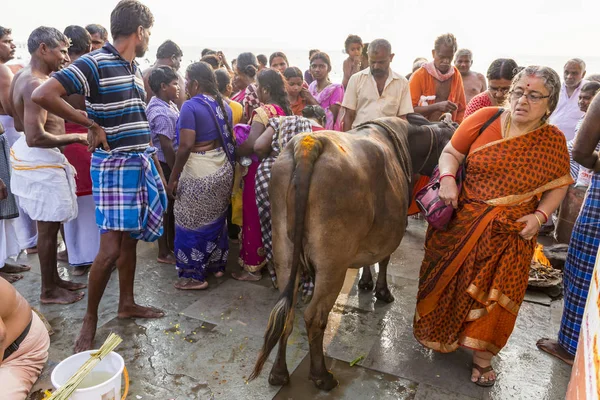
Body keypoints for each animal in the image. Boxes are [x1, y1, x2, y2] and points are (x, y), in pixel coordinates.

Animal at [248, 115, 454, 390]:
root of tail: (309, 144)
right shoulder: (390, 233)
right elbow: (384, 259)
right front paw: (382, 291)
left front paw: (365, 282)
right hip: (332, 264)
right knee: (315, 316)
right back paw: (321, 376)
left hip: (284, 252)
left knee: (286, 311)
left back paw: (279, 373)